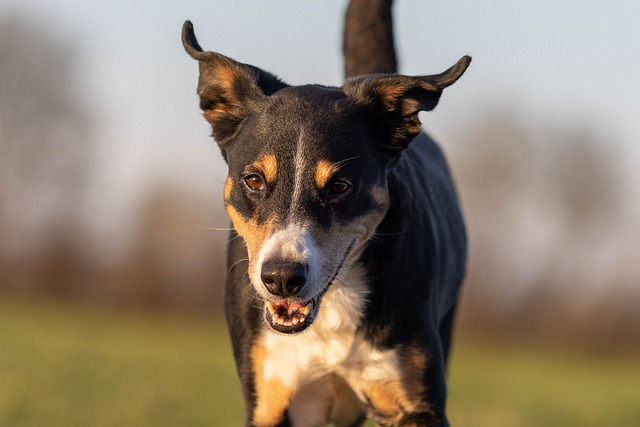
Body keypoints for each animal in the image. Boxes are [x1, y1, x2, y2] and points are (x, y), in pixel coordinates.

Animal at [182, 1, 468, 426]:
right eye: (254, 180)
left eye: (339, 186)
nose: (282, 278)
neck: (331, 310)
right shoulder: (269, 398)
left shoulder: (416, 404)